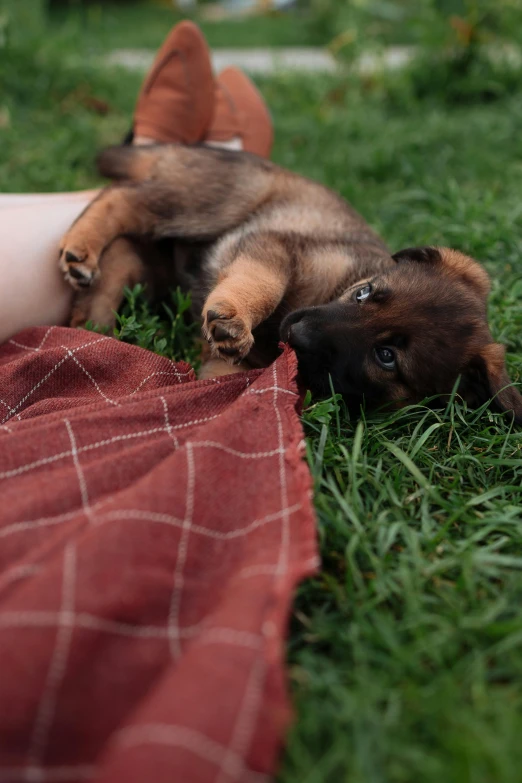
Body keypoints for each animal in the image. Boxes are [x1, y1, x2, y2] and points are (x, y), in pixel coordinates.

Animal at [59, 143, 516, 420]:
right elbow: (263, 284)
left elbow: (221, 375)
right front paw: (233, 318)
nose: (297, 332)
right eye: (364, 293)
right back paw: (80, 249)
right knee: (122, 197)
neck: (339, 285)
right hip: (214, 202)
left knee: (124, 248)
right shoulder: (273, 246)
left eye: (386, 356)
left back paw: (93, 318)